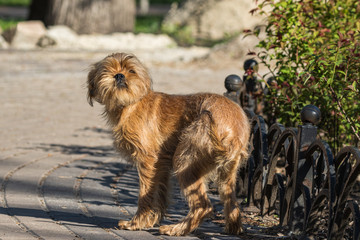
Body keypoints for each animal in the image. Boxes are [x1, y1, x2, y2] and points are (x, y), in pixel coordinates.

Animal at [87, 53, 250, 236]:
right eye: (107, 70)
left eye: (131, 71)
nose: (119, 75)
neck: (131, 104)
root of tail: (236, 128)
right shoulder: (161, 166)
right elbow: (159, 195)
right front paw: (150, 220)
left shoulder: (148, 161)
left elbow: (145, 195)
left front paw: (136, 223)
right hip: (227, 174)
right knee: (232, 203)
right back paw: (233, 229)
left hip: (185, 162)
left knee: (203, 206)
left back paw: (176, 229)